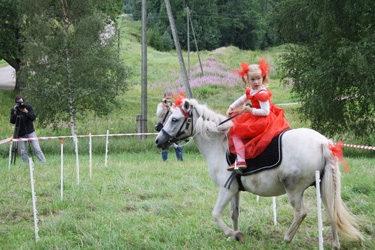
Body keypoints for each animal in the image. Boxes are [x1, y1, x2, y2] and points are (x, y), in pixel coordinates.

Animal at [154, 98, 362, 250]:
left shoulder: (226, 190)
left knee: (300, 213)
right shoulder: (234, 190)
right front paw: (233, 237)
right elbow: (234, 214)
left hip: (294, 190)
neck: (218, 143)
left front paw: (235, 235)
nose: (158, 140)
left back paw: (286, 239)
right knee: (331, 211)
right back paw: (335, 244)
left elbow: (215, 214)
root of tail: (323, 142)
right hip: (322, 187)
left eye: (174, 119)